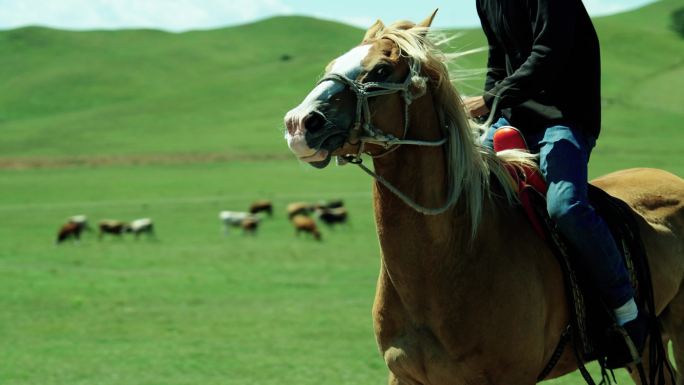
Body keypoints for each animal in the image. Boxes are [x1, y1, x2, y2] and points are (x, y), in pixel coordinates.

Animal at [284, 12, 684, 384]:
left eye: (381, 68)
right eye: (331, 65)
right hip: (646, 350)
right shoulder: (404, 376)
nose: (298, 124)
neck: (451, 258)